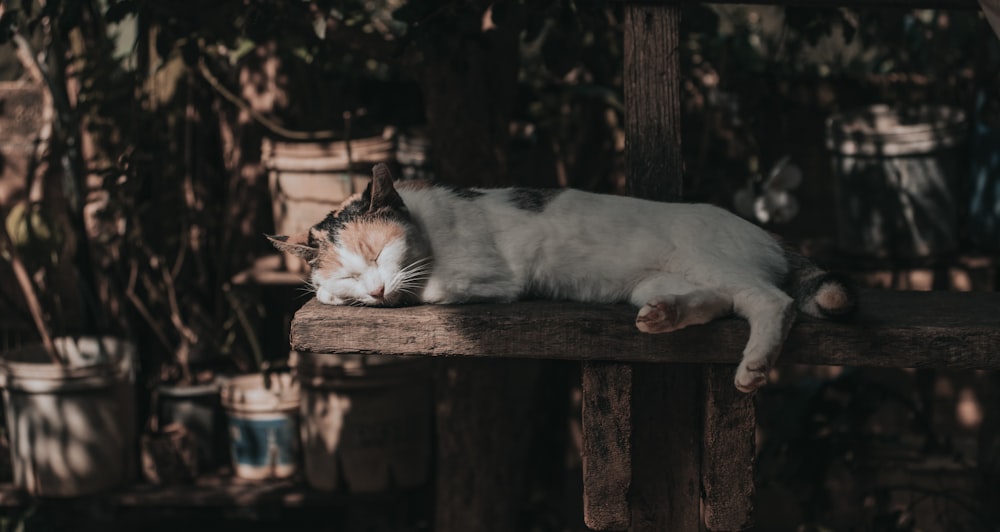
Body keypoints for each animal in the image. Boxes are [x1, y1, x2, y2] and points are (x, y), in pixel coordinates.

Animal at [270, 164, 856, 392]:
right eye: (350, 272)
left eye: (376, 252)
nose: (371, 289)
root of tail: (766, 233)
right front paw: (334, 295)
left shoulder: (488, 278)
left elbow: (421, 290)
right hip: (660, 282)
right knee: (722, 301)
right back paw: (664, 316)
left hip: (717, 261)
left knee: (772, 301)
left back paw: (753, 368)